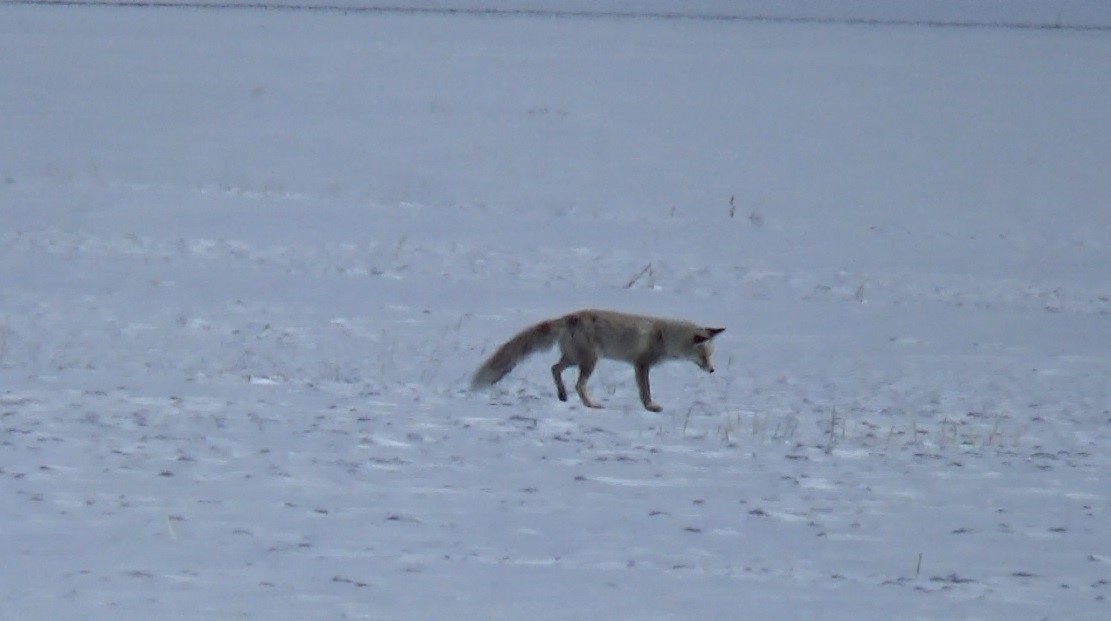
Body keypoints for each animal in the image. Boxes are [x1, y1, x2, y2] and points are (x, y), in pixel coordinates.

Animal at [472, 309, 724, 412]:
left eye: (711, 355)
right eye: (704, 356)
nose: (712, 370)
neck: (663, 335)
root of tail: (568, 318)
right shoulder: (641, 364)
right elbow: (645, 390)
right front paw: (650, 407)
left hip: (574, 358)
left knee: (554, 368)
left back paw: (562, 395)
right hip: (588, 361)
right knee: (577, 384)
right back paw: (590, 404)